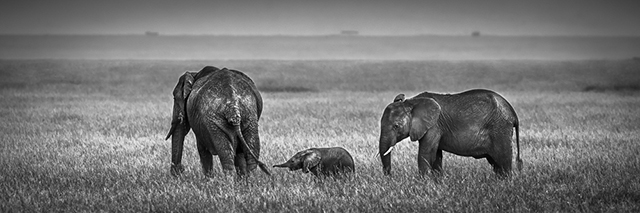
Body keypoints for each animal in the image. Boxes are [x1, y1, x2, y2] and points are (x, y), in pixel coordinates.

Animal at [378, 88, 524, 176]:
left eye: (396, 126)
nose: (389, 177)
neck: (412, 102)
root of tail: (513, 113)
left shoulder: (434, 126)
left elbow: (426, 154)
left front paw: (423, 184)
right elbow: (436, 156)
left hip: (500, 128)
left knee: (503, 160)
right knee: (496, 163)